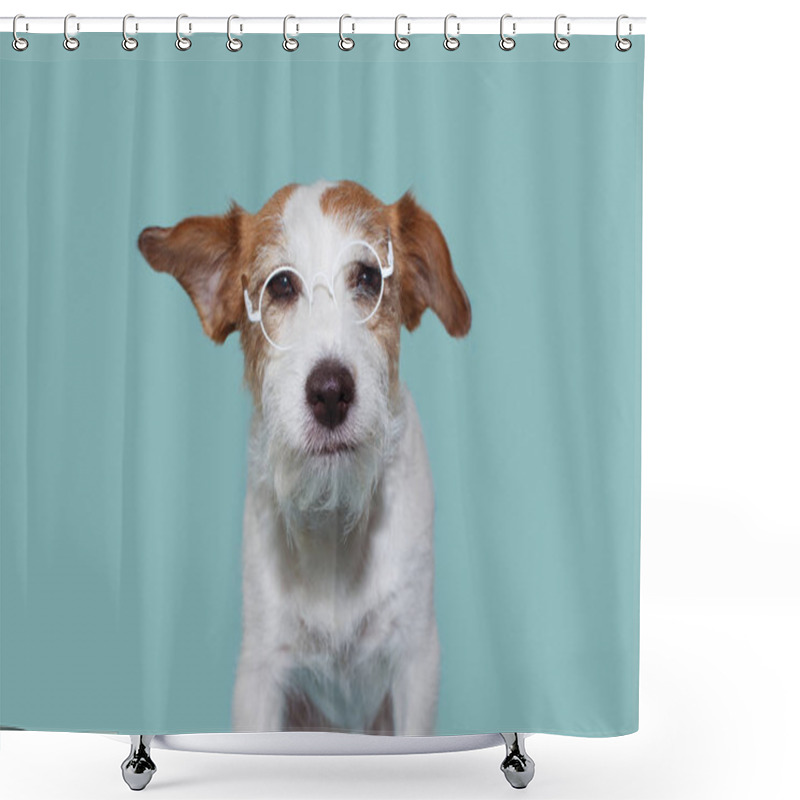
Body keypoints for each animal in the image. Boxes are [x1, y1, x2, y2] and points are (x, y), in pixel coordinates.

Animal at [140, 178, 472, 736]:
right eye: (280, 286)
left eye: (368, 276)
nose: (331, 392)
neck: (333, 523)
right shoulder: (261, 672)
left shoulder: (415, 661)